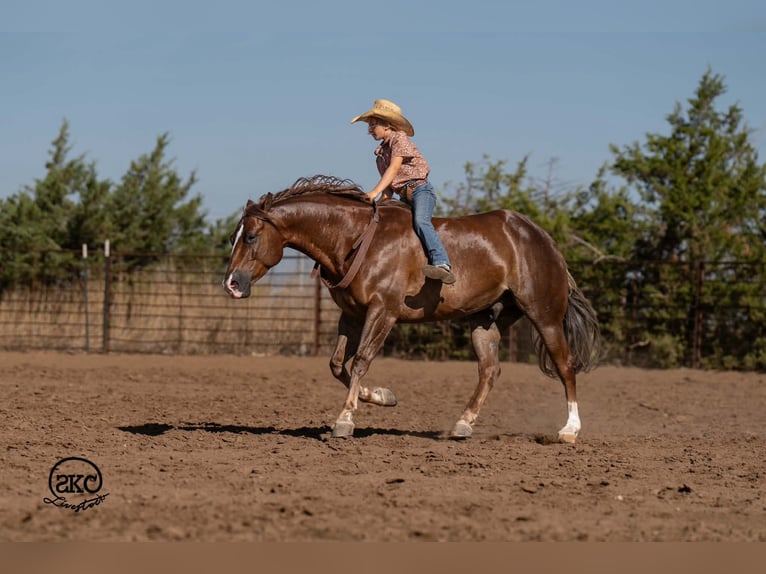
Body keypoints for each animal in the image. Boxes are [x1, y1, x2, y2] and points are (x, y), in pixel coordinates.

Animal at [223, 175, 601, 443]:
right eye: (234, 237)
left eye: (251, 236)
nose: (231, 283)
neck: (355, 238)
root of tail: (542, 238)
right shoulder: (352, 315)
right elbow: (337, 364)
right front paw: (382, 396)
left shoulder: (383, 312)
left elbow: (360, 361)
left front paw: (344, 420)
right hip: (486, 320)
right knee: (490, 369)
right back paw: (463, 424)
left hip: (545, 316)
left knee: (565, 366)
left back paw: (569, 430)